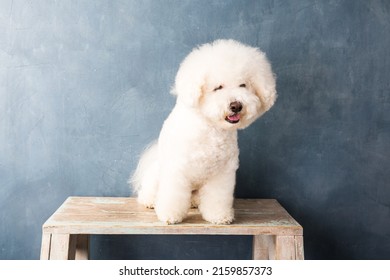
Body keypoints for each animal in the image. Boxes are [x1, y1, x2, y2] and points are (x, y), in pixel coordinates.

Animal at [131, 39, 278, 224]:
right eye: (218, 88)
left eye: (243, 85)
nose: (236, 106)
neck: (210, 129)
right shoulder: (177, 169)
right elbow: (173, 196)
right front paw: (170, 215)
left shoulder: (222, 174)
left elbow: (217, 197)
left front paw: (219, 216)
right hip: (157, 174)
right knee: (149, 190)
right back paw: (150, 201)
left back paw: (194, 202)